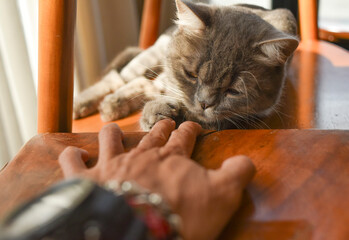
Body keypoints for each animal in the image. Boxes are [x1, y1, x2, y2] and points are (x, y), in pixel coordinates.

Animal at [72, 0, 296, 130]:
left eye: (233, 91)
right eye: (192, 75)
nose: (205, 103)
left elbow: (193, 114)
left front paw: (157, 111)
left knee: (142, 84)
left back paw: (114, 104)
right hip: (145, 60)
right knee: (118, 78)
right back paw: (83, 103)